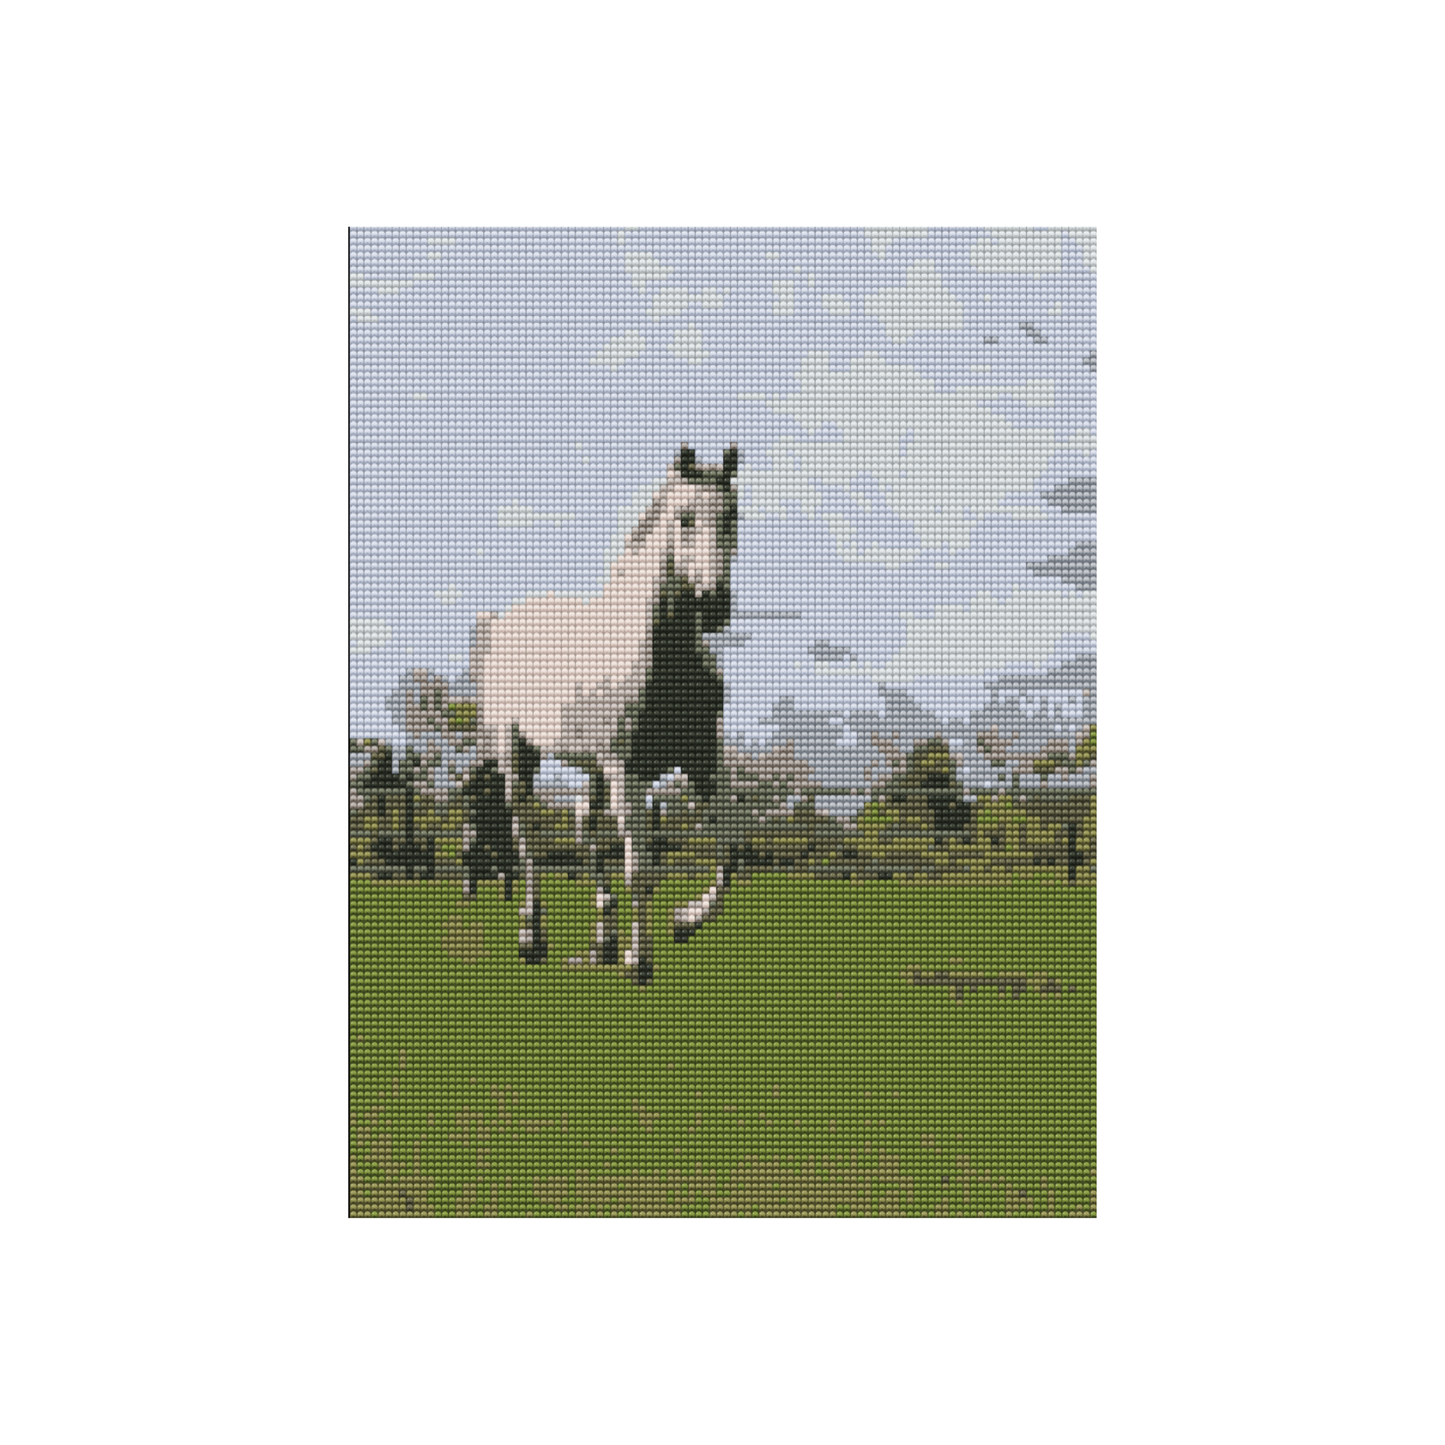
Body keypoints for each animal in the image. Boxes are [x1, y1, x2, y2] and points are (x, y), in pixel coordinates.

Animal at [461, 445, 744, 985]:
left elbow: (729, 848)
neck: (661, 656)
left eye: (732, 516)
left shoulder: (701, 760)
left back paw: (602, 941)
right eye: (684, 518)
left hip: (592, 771)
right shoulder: (625, 772)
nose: (715, 604)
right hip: (518, 757)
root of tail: (500, 624)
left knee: (582, 825)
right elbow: (641, 868)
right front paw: (640, 960)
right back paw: (533, 937)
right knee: (526, 836)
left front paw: (685, 920)